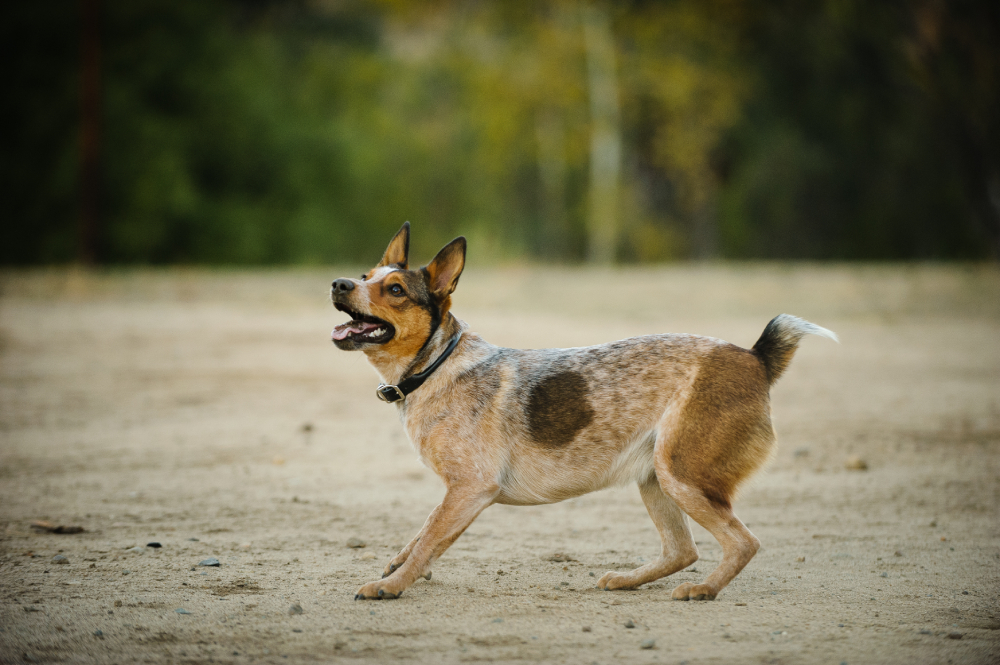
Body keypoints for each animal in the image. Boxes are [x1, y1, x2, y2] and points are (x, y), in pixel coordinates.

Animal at [330, 223, 836, 600]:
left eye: (395, 289)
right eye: (364, 275)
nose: (339, 283)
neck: (437, 365)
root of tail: (755, 357)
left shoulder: (471, 488)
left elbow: (429, 537)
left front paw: (393, 583)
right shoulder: (458, 492)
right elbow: (422, 533)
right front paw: (400, 565)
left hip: (682, 475)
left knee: (742, 542)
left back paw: (705, 589)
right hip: (656, 477)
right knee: (682, 550)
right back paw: (628, 580)